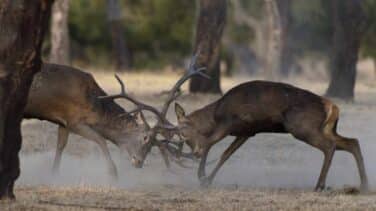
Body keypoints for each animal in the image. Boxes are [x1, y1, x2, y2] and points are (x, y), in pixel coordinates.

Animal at [167, 81, 370, 191]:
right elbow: (226, 154)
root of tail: (332, 107)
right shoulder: (247, 132)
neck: (215, 115)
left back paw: (319, 185)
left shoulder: (229, 124)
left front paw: (202, 177)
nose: (194, 153)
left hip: (303, 128)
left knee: (330, 146)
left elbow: (210, 143)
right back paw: (364, 185)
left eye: (183, 133)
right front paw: (207, 180)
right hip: (325, 129)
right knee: (352, 142)